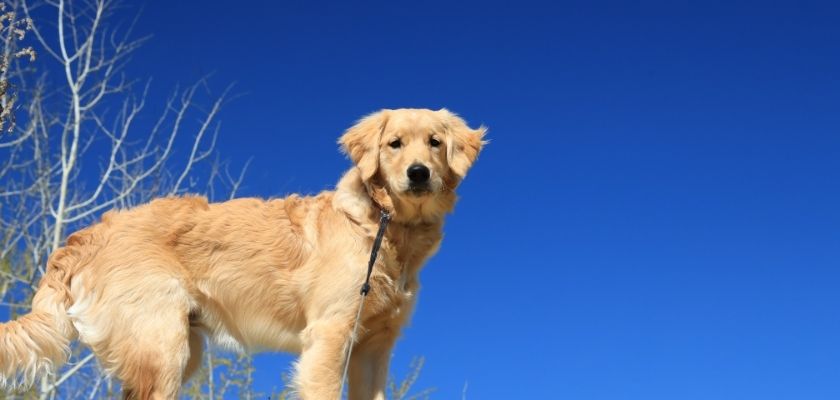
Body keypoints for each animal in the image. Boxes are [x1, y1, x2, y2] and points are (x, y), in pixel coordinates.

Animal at [0, 108, 486, 398]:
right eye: (394, 144)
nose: (419, 174)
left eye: (435, 142)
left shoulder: (373, 347)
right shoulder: (330, 336)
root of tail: (87, 235)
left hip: (179, 350)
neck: (382, 226)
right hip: (163, 350)